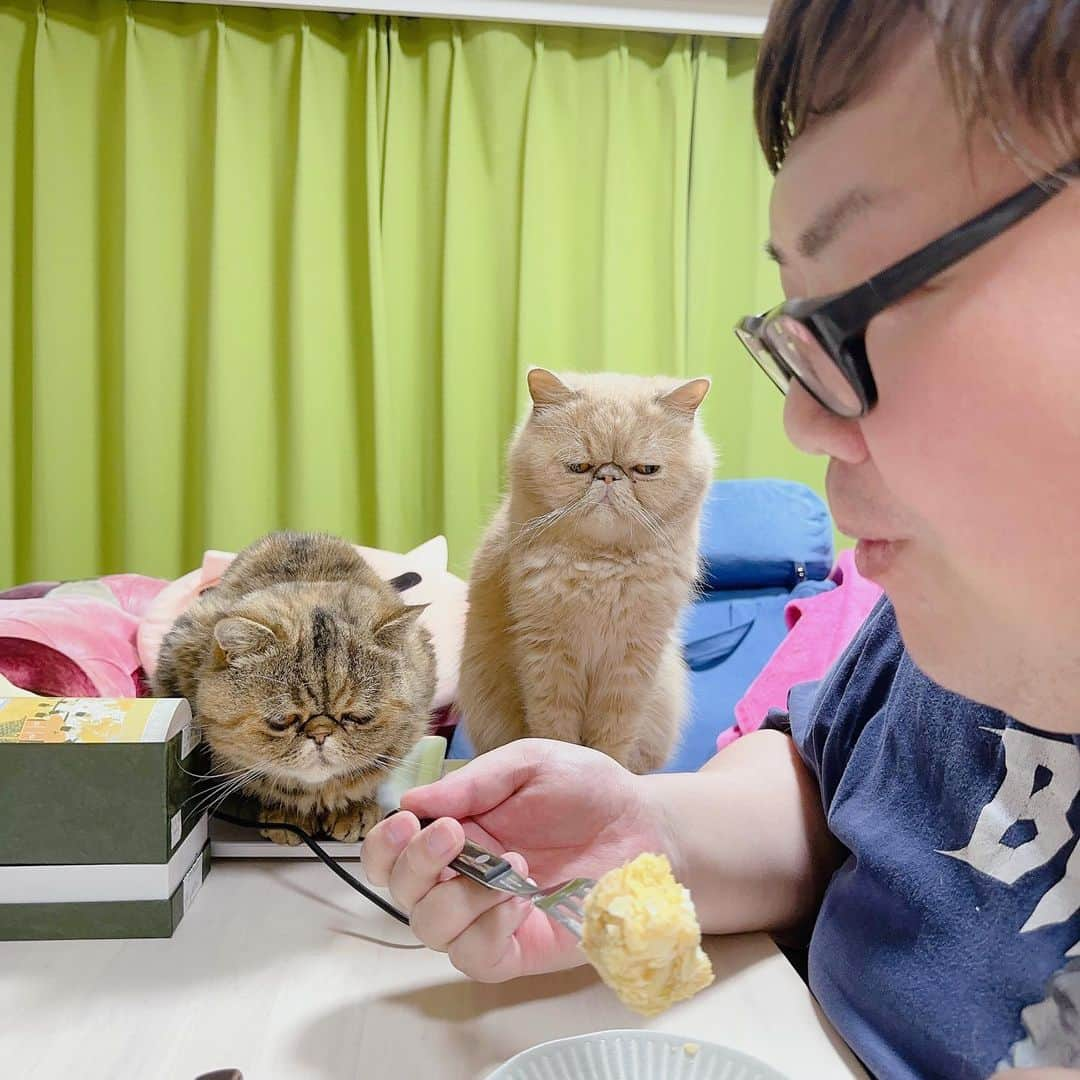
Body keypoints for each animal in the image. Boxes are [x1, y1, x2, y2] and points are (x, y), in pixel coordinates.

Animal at [460, 367, 712, 773]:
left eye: (646, 469)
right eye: (578, 467)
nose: (608, 476)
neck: (601, 568)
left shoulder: (631, 663)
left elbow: (612, 736)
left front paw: (606, 769)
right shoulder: (547, 657)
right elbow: (556, 729)